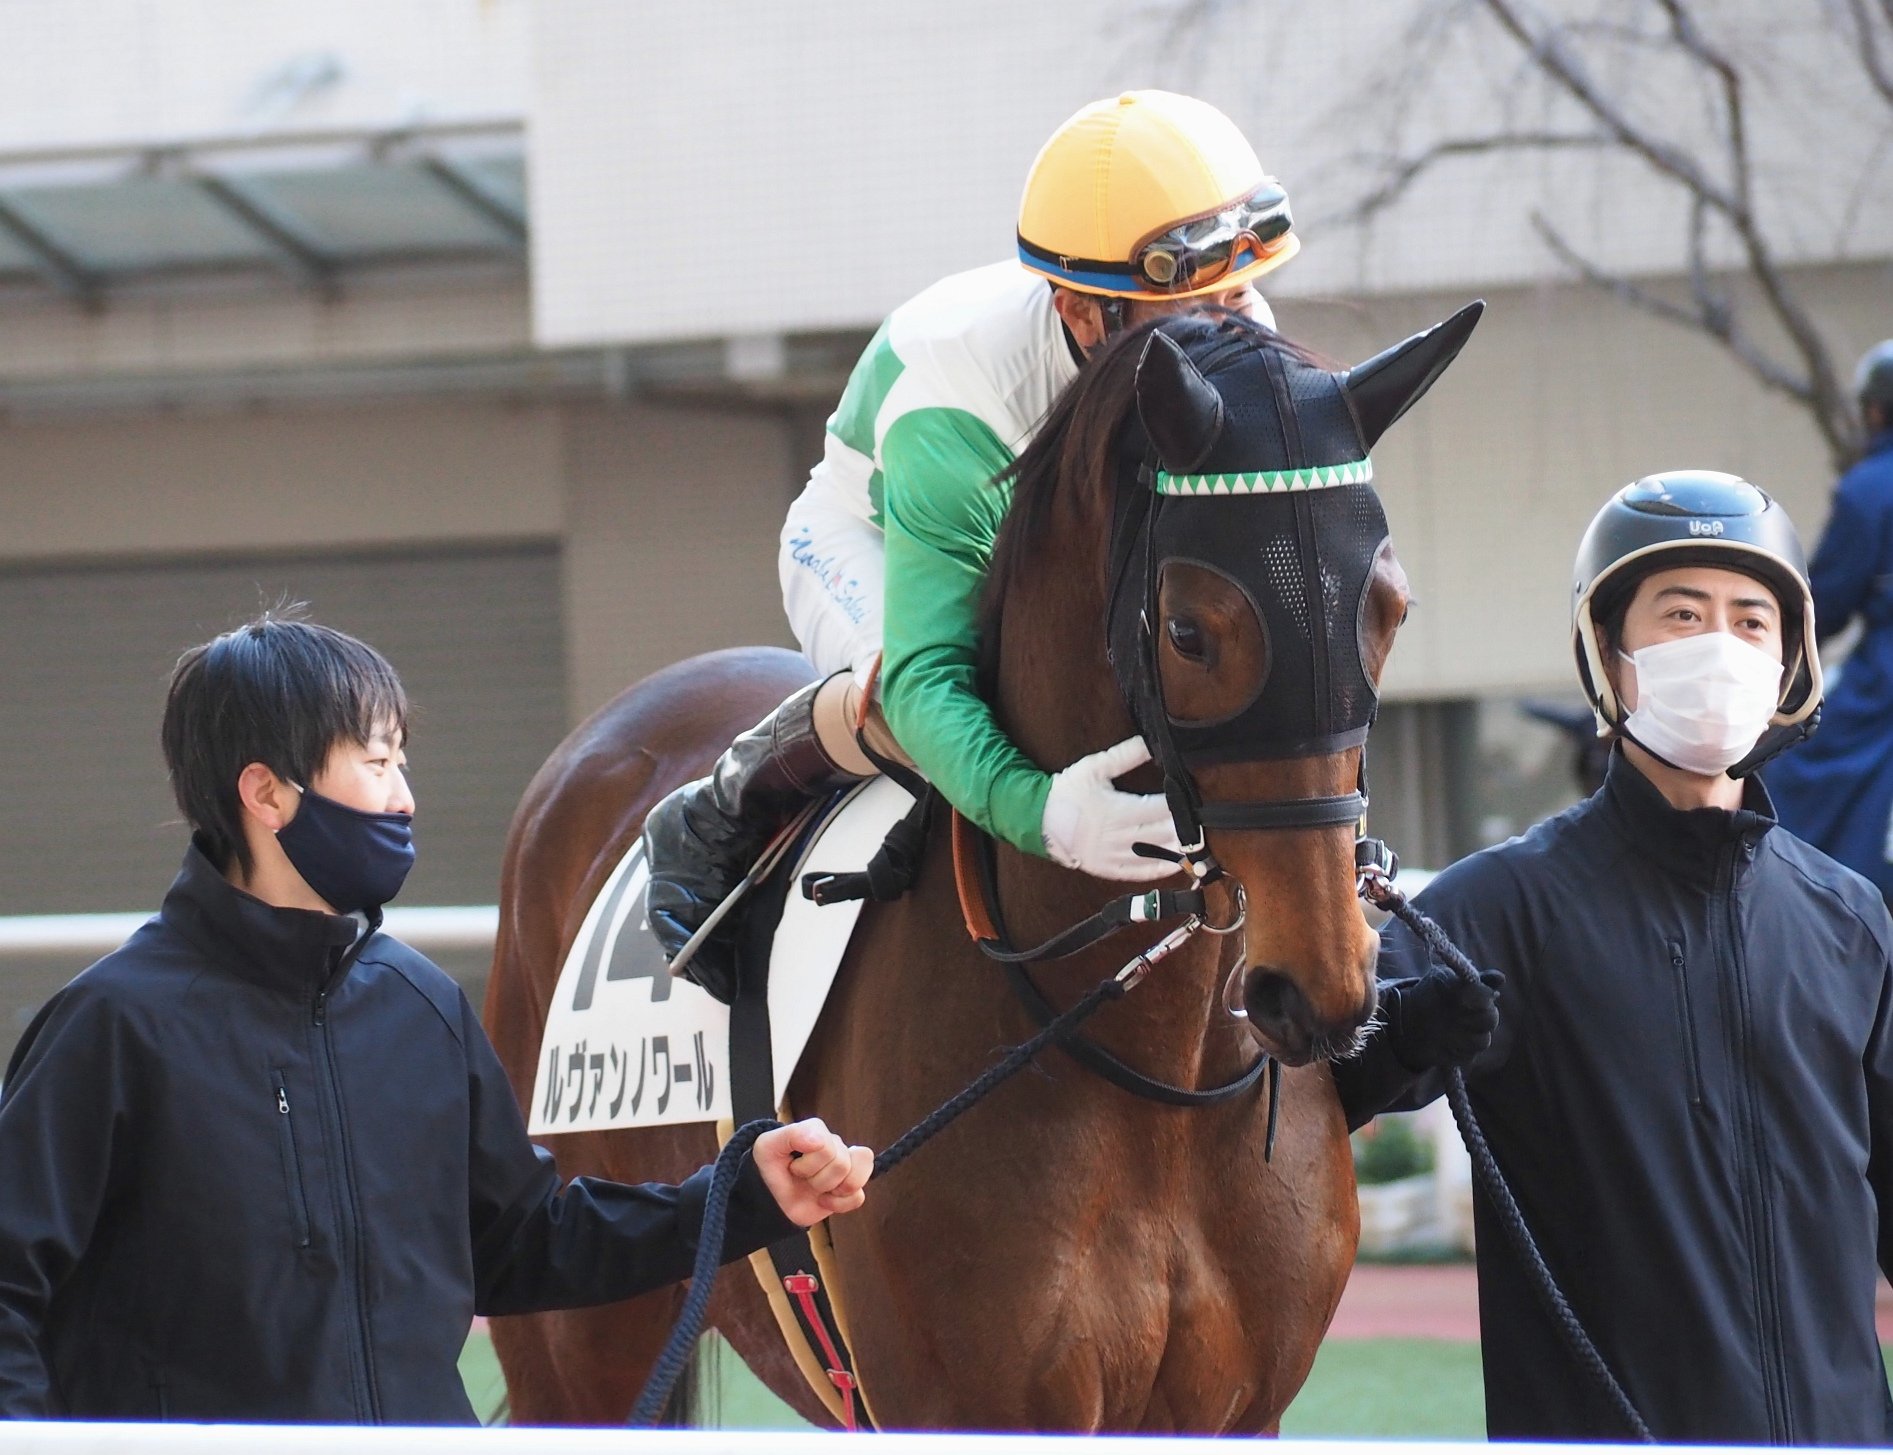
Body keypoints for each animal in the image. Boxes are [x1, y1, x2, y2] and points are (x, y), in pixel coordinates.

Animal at [482, 303, 1481, 1432]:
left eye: (1389, 608)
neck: (1152, 1080)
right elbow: (914, 676)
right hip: (576, 1348)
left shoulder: (1241, 1408)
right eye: (1190, 630)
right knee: (876, 683)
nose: (1315, 989)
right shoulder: (966, 1400)